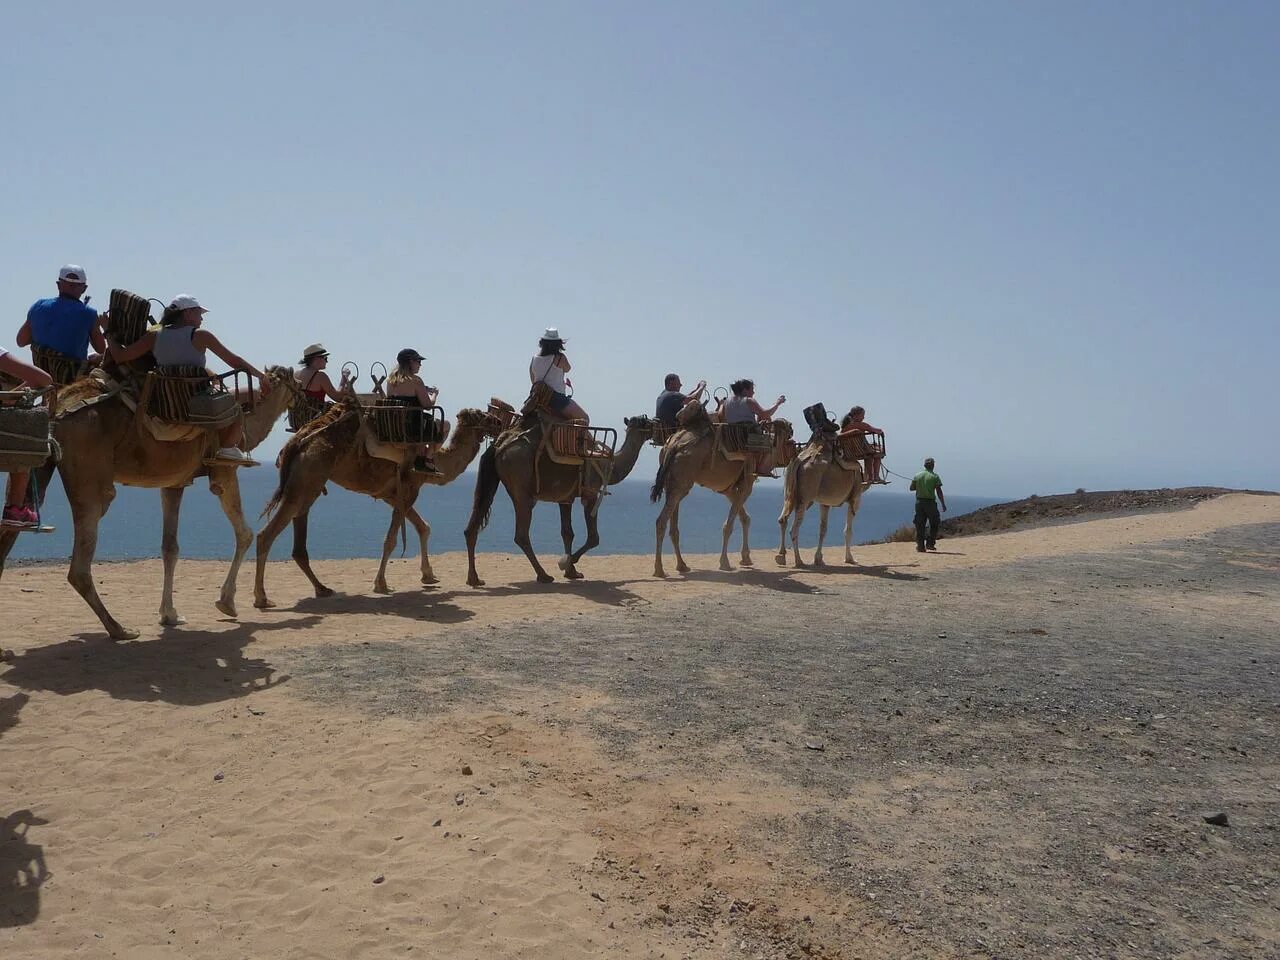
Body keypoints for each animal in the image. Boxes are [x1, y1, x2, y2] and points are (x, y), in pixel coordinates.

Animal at [0, 363, 296, 642]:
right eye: (298, 382)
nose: (303, 397)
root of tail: (58, 409)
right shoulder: (223, 471)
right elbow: (244, 533)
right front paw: (227, 603)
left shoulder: (174, 482)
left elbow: (170, 547)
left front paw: (169, 614)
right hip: (89, 474)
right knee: (80, 564)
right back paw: (120, 629)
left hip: (40, 461)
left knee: (13, 523)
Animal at [252, 401, 496, 604]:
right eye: (482, 415)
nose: (498, 420)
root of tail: (297, 442)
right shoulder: (409, 487)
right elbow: (391, 540)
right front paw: (381, 584)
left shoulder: (391, 494)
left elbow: (423, 527)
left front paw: (428, 575)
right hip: (308, 476)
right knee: (266, 535)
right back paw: (261, 598)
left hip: (305, 482)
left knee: (297, 537)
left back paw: (322, 588)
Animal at [463, 414, 660, 586]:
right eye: (647, 422)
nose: (657, 424)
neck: (608, 464)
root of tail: (499, 446)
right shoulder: (591, 493)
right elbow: (594, 538)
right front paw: (568, 562)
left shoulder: (565, 498)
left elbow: (567, 533)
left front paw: (571, 571)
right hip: (521, 488)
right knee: (521, 534)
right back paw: (543, 575)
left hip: (495, 480)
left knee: (472, 525)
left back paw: (474, 579)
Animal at [650, 404, 788, 578]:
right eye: (789, 434)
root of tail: (673, 445)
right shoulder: (746, 483)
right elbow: (729, 525)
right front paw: (725, 562)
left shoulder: (728, 489)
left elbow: (745, 518)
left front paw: (746, 558)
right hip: (683, 479)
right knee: (661, 521)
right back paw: (659, 570)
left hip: (673, 482)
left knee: (672, 524)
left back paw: (682, 565)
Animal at [773, 432, 875, 568]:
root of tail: (798, 461)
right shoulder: (855, 498)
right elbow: (848, 531)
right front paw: (850, 559)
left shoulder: (825, 503)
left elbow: (823, 529)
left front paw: (819, 559)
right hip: (805, 496)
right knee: (793, 529)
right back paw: (799, 561)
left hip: (789, 492)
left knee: (782, 519)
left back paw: (781, 555)